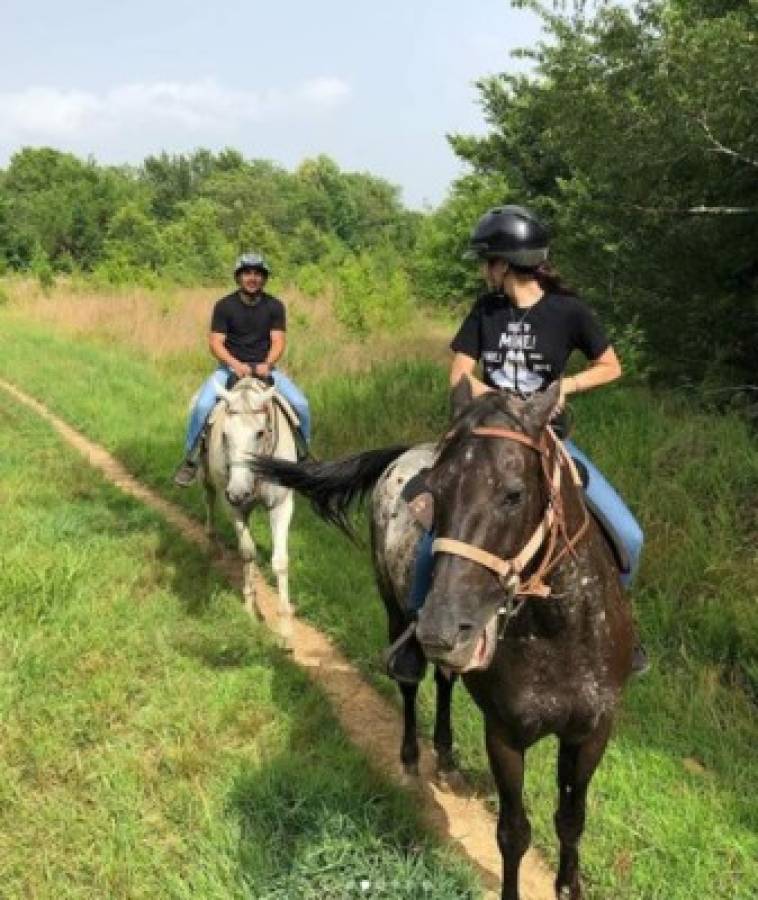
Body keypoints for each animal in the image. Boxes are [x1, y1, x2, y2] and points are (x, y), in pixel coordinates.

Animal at [199, 376, 296, 644]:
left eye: (260, 433)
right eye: (224, 435)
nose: (238, 492)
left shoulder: (282, 505)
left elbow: (280, 561)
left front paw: (285, 627)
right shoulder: (233, 507)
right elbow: (247, 552)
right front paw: (250, 609)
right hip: (208, 479)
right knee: (209, 497)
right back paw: (211, 543)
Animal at [255, 380, 636, 900]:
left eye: (514, 494)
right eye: (435, 494)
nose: (442, 627)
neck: (556, 632)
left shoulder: (591, 731)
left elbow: (571, 819)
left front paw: (569, 886)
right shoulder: (504, 735)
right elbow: (513, 832)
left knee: (444, 682)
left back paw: (447, 754)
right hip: (396, 616)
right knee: (411, 683)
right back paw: (413, 760)